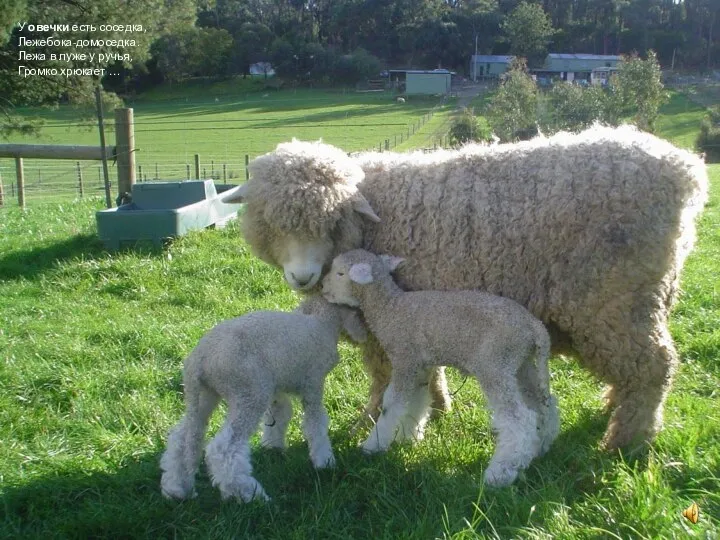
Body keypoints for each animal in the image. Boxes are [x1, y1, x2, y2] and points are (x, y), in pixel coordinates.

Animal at [161, 296, 368, 502]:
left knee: (183, 437)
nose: (366, 332)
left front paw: (273, 446)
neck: (321, 321)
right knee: (224, 449)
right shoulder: (312, 382)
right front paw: (324, 461)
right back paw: (249, 494)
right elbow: (316, 424)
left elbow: (280, 413)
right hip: (249, 392)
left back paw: (176, 488)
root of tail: (199, 360)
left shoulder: (277, 385)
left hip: (204, 395)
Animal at [225, 124, 708, 450]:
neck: (373, 216)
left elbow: (384, 377)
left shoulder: (386, 324)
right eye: (270, 222)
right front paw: (438, 408)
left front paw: (371, 422)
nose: (303, 277)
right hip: (643, 298)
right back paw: (615, 410)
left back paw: (627, 441)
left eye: (330, 221)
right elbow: (427, 371)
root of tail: (685, 171)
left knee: (653, 366)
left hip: (613, 299)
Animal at [322, 251, 564, 488]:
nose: (323, 288)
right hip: (521, 364)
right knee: (544, 406)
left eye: (340, 273)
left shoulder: (404, 359)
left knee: (520, 418)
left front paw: (373, 445)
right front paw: (408, 437)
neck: (390, 308)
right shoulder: (420, 366)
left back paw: (500, 473)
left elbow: (392, 404)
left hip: (495, 364)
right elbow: (417, 401)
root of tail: (535, 328)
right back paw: (538, 449)